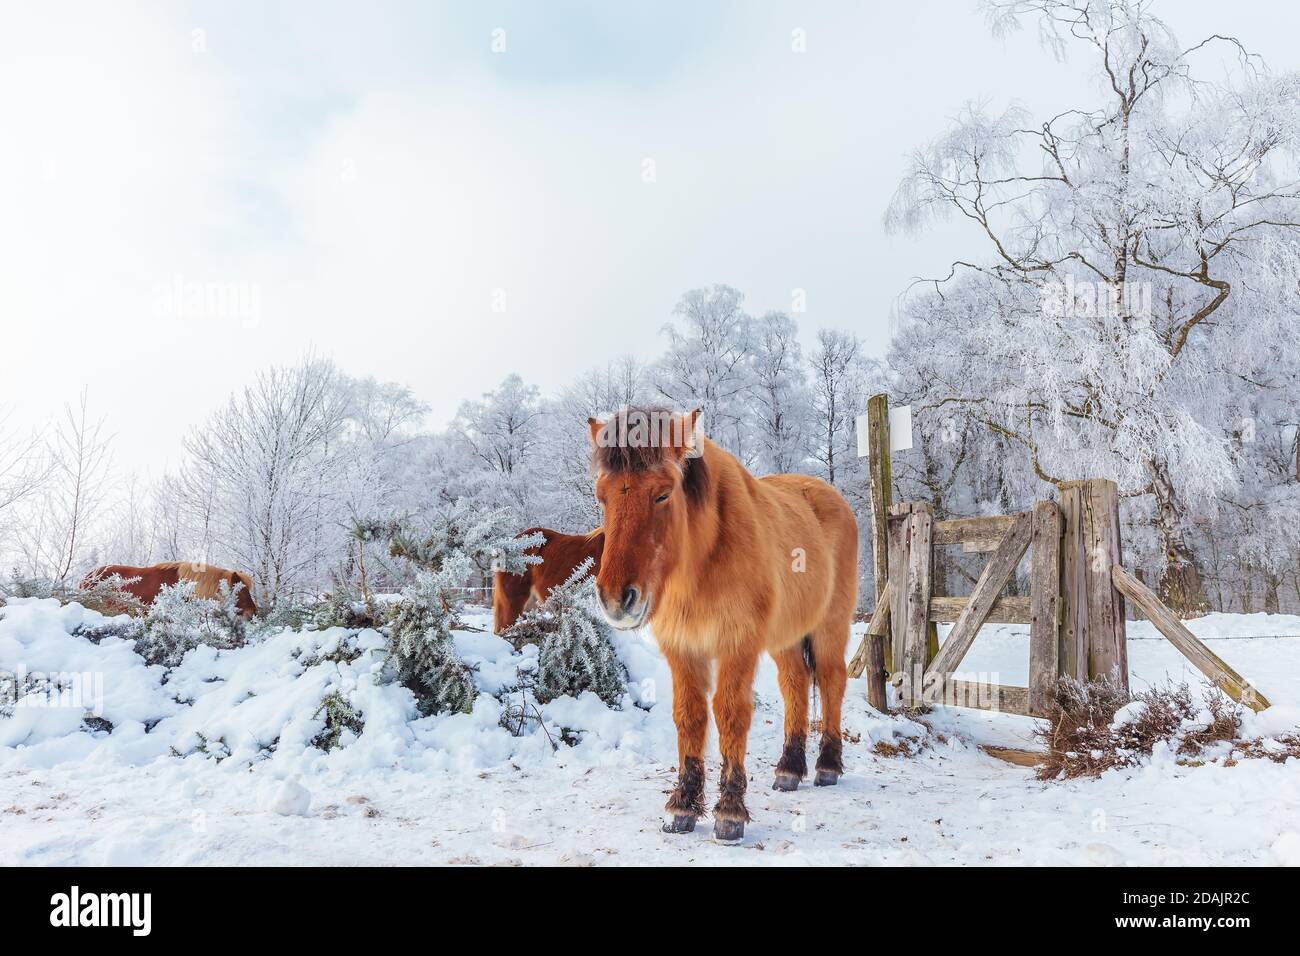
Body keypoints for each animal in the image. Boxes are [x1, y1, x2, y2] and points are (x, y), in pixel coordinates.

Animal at [588, 407, 858, 842]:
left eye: (662, 494)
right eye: (602, 496)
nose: (616, 598)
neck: (702, 561)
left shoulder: (738, 644)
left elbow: (731, 713)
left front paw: (729, 812)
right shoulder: (683, 648)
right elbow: (690, 716)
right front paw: (682, 806)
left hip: (831, 626)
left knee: (832, 681)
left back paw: (827, 765)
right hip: (785, 638)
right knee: (795, 684)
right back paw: (789, 768)